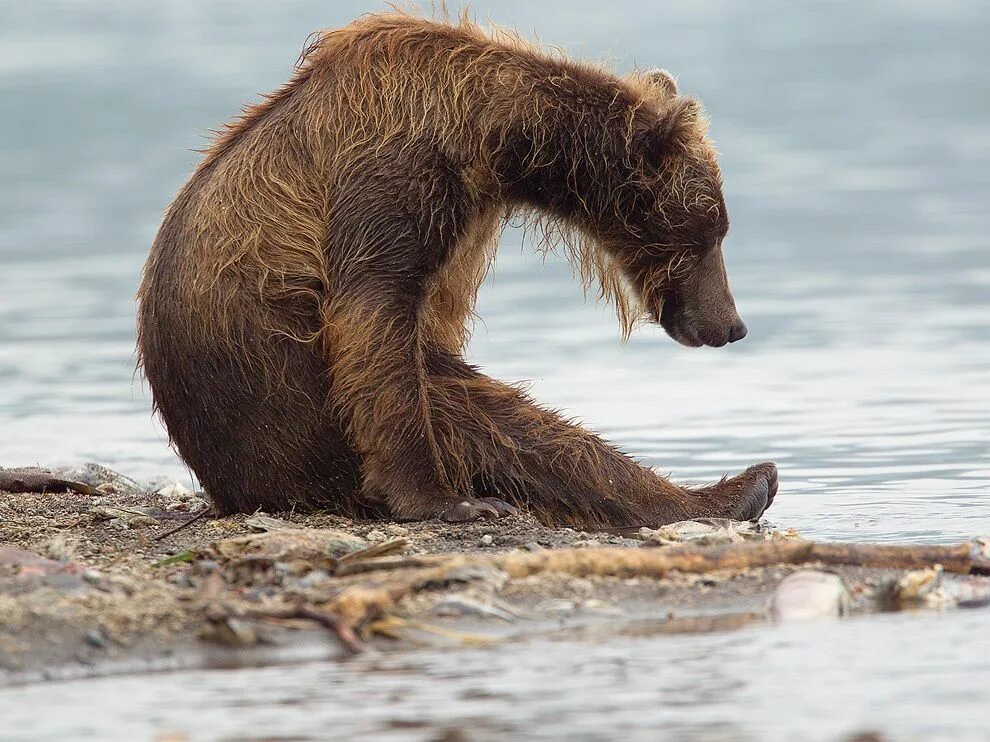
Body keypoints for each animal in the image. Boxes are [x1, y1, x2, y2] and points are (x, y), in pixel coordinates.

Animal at [136, 8, 780, 528]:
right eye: (711, 233)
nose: (732, 326)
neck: (490, 138)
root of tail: (227, 490)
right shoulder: (392, 176)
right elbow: (376, 324)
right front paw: (443, 500)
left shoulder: (463, 223)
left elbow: (430, 321)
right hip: (287, 414)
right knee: (477, 412)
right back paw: (725, 494)